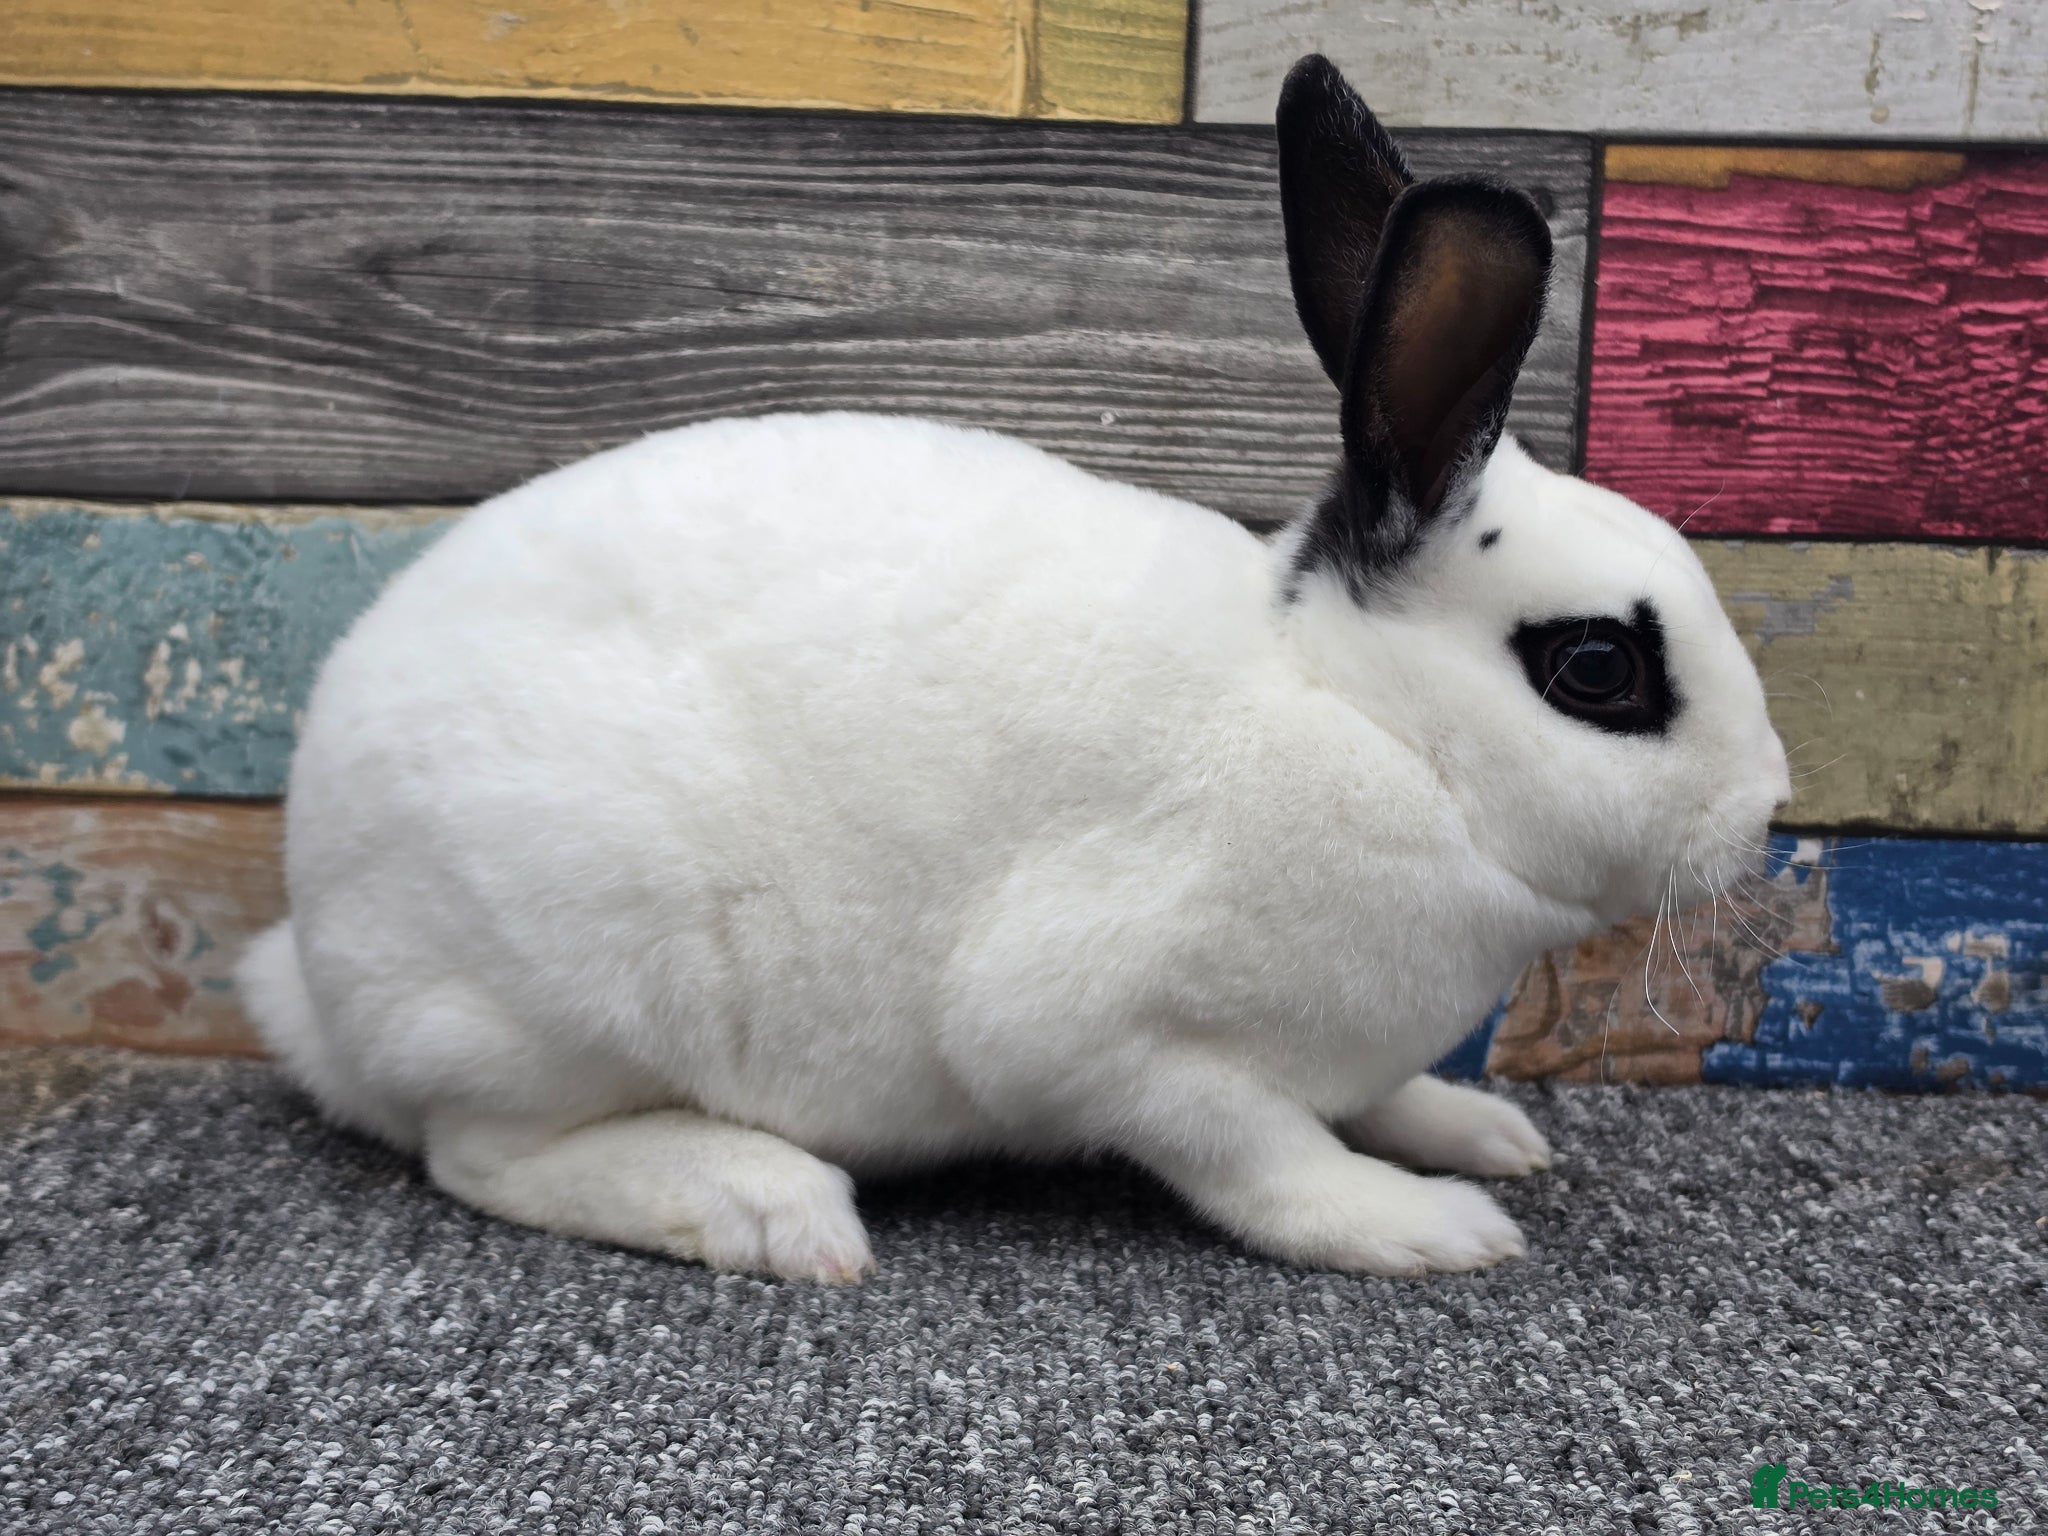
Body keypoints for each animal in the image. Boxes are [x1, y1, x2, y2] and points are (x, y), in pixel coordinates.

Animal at [237, 54, 1790, 1281]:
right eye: (1594, 668)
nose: (1766, 809)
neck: (1370, 721)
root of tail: (314, 966)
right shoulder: (1107, 1033)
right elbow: (1254, 1154)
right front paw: (1424, 1224)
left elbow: (1377, 1093)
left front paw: (1478, 1131)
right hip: (582, 972)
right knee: (479, 1151)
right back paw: (768, 1208)